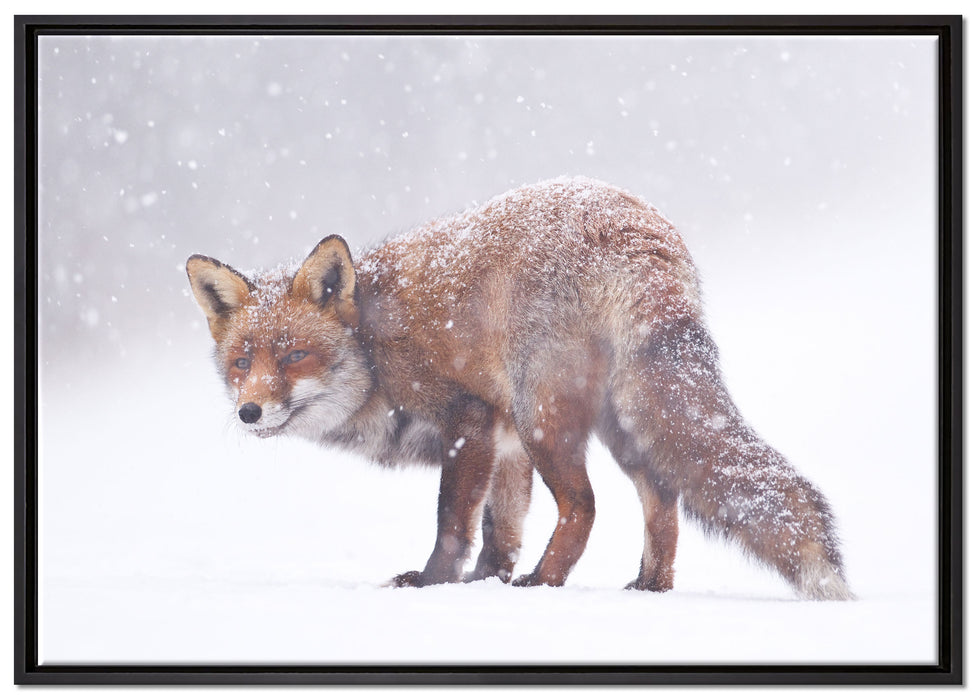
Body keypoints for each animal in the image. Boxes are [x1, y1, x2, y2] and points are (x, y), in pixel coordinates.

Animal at [187, 176, 853, 600]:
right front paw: (488, 584)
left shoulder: (471, 420)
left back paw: (546, 584)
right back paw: (648, 588)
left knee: (585, 506)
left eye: (295, 355)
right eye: (242, 362)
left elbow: (453, 524)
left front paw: (433, 586)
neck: (374, 349)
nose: (250, 411)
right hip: (620, 424)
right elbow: (499, 532)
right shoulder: (504, 445)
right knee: (662, 502)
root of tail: (633, 227)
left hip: (545, 418)